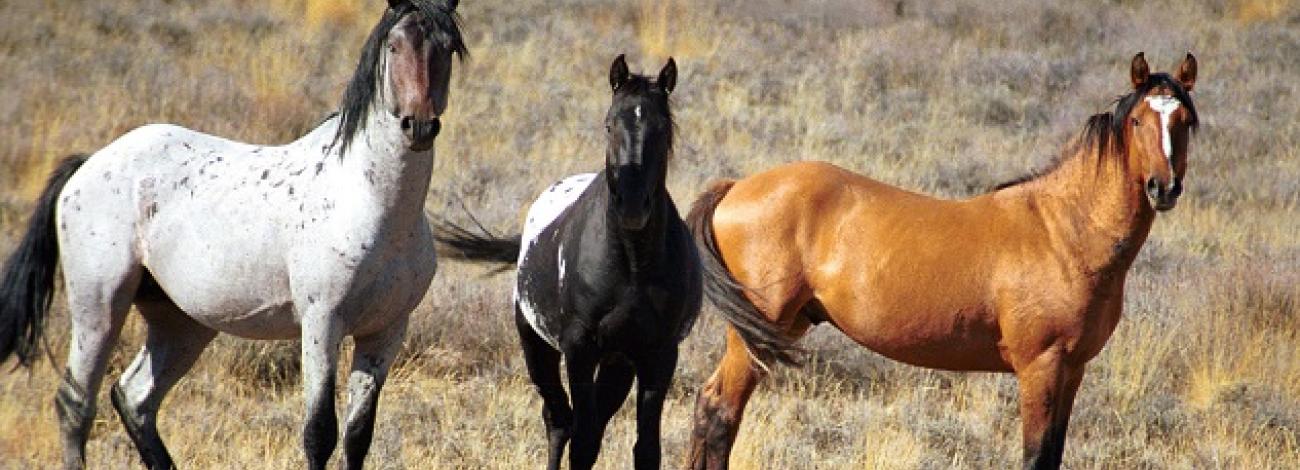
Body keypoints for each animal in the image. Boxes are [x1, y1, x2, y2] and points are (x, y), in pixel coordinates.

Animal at [0, 1, 466, 468]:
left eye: (447, 47)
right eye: (395, 45)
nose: (418, 126)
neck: (371, 204)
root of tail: (89, 163)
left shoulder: (385, 332)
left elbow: (357, 436)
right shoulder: (322, 322)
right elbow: (319, 433)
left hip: (180, 323)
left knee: (134, 398)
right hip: (98, 308)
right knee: (76, 404)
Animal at [433, 55, 702, 470]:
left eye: (662, 127)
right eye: (609, 123)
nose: (631, 206)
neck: (632, 265)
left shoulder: (659, 354)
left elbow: (646, 449)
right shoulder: (579, 348)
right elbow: (583, 442)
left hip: (618, 363)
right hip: (537, 347)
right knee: (559, 420)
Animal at [684, 53, 1199, 470]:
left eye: (1184, 122)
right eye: (1137, 122)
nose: (1164, 188)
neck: (1064, 230)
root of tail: (735, 186)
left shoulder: (1073, 370)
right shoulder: (1042, 367)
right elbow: (1035, 457)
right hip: (754, 334)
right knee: (718, 411)